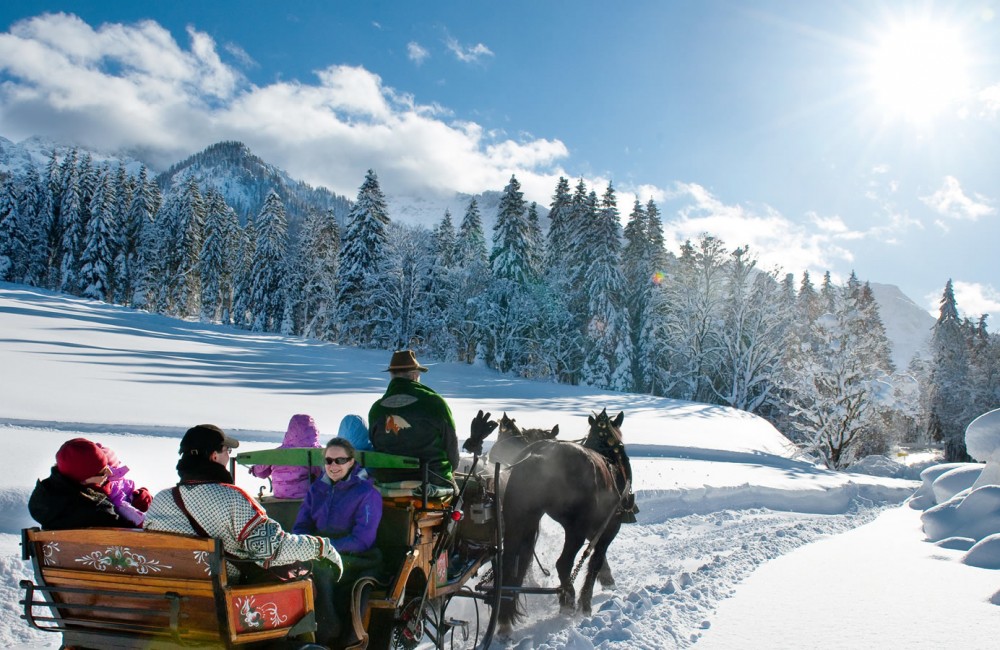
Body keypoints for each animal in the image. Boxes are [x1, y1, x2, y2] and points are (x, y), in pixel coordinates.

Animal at [496, 408, 628, 632]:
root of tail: (541, 454)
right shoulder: (610, 526)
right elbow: (595, 560)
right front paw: (586, 602)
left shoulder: (597, 528)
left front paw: (606, 577)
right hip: (576, 528)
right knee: (564, 563)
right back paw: (568, 599)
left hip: (519, 519)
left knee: (511, 561)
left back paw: (505, 617)